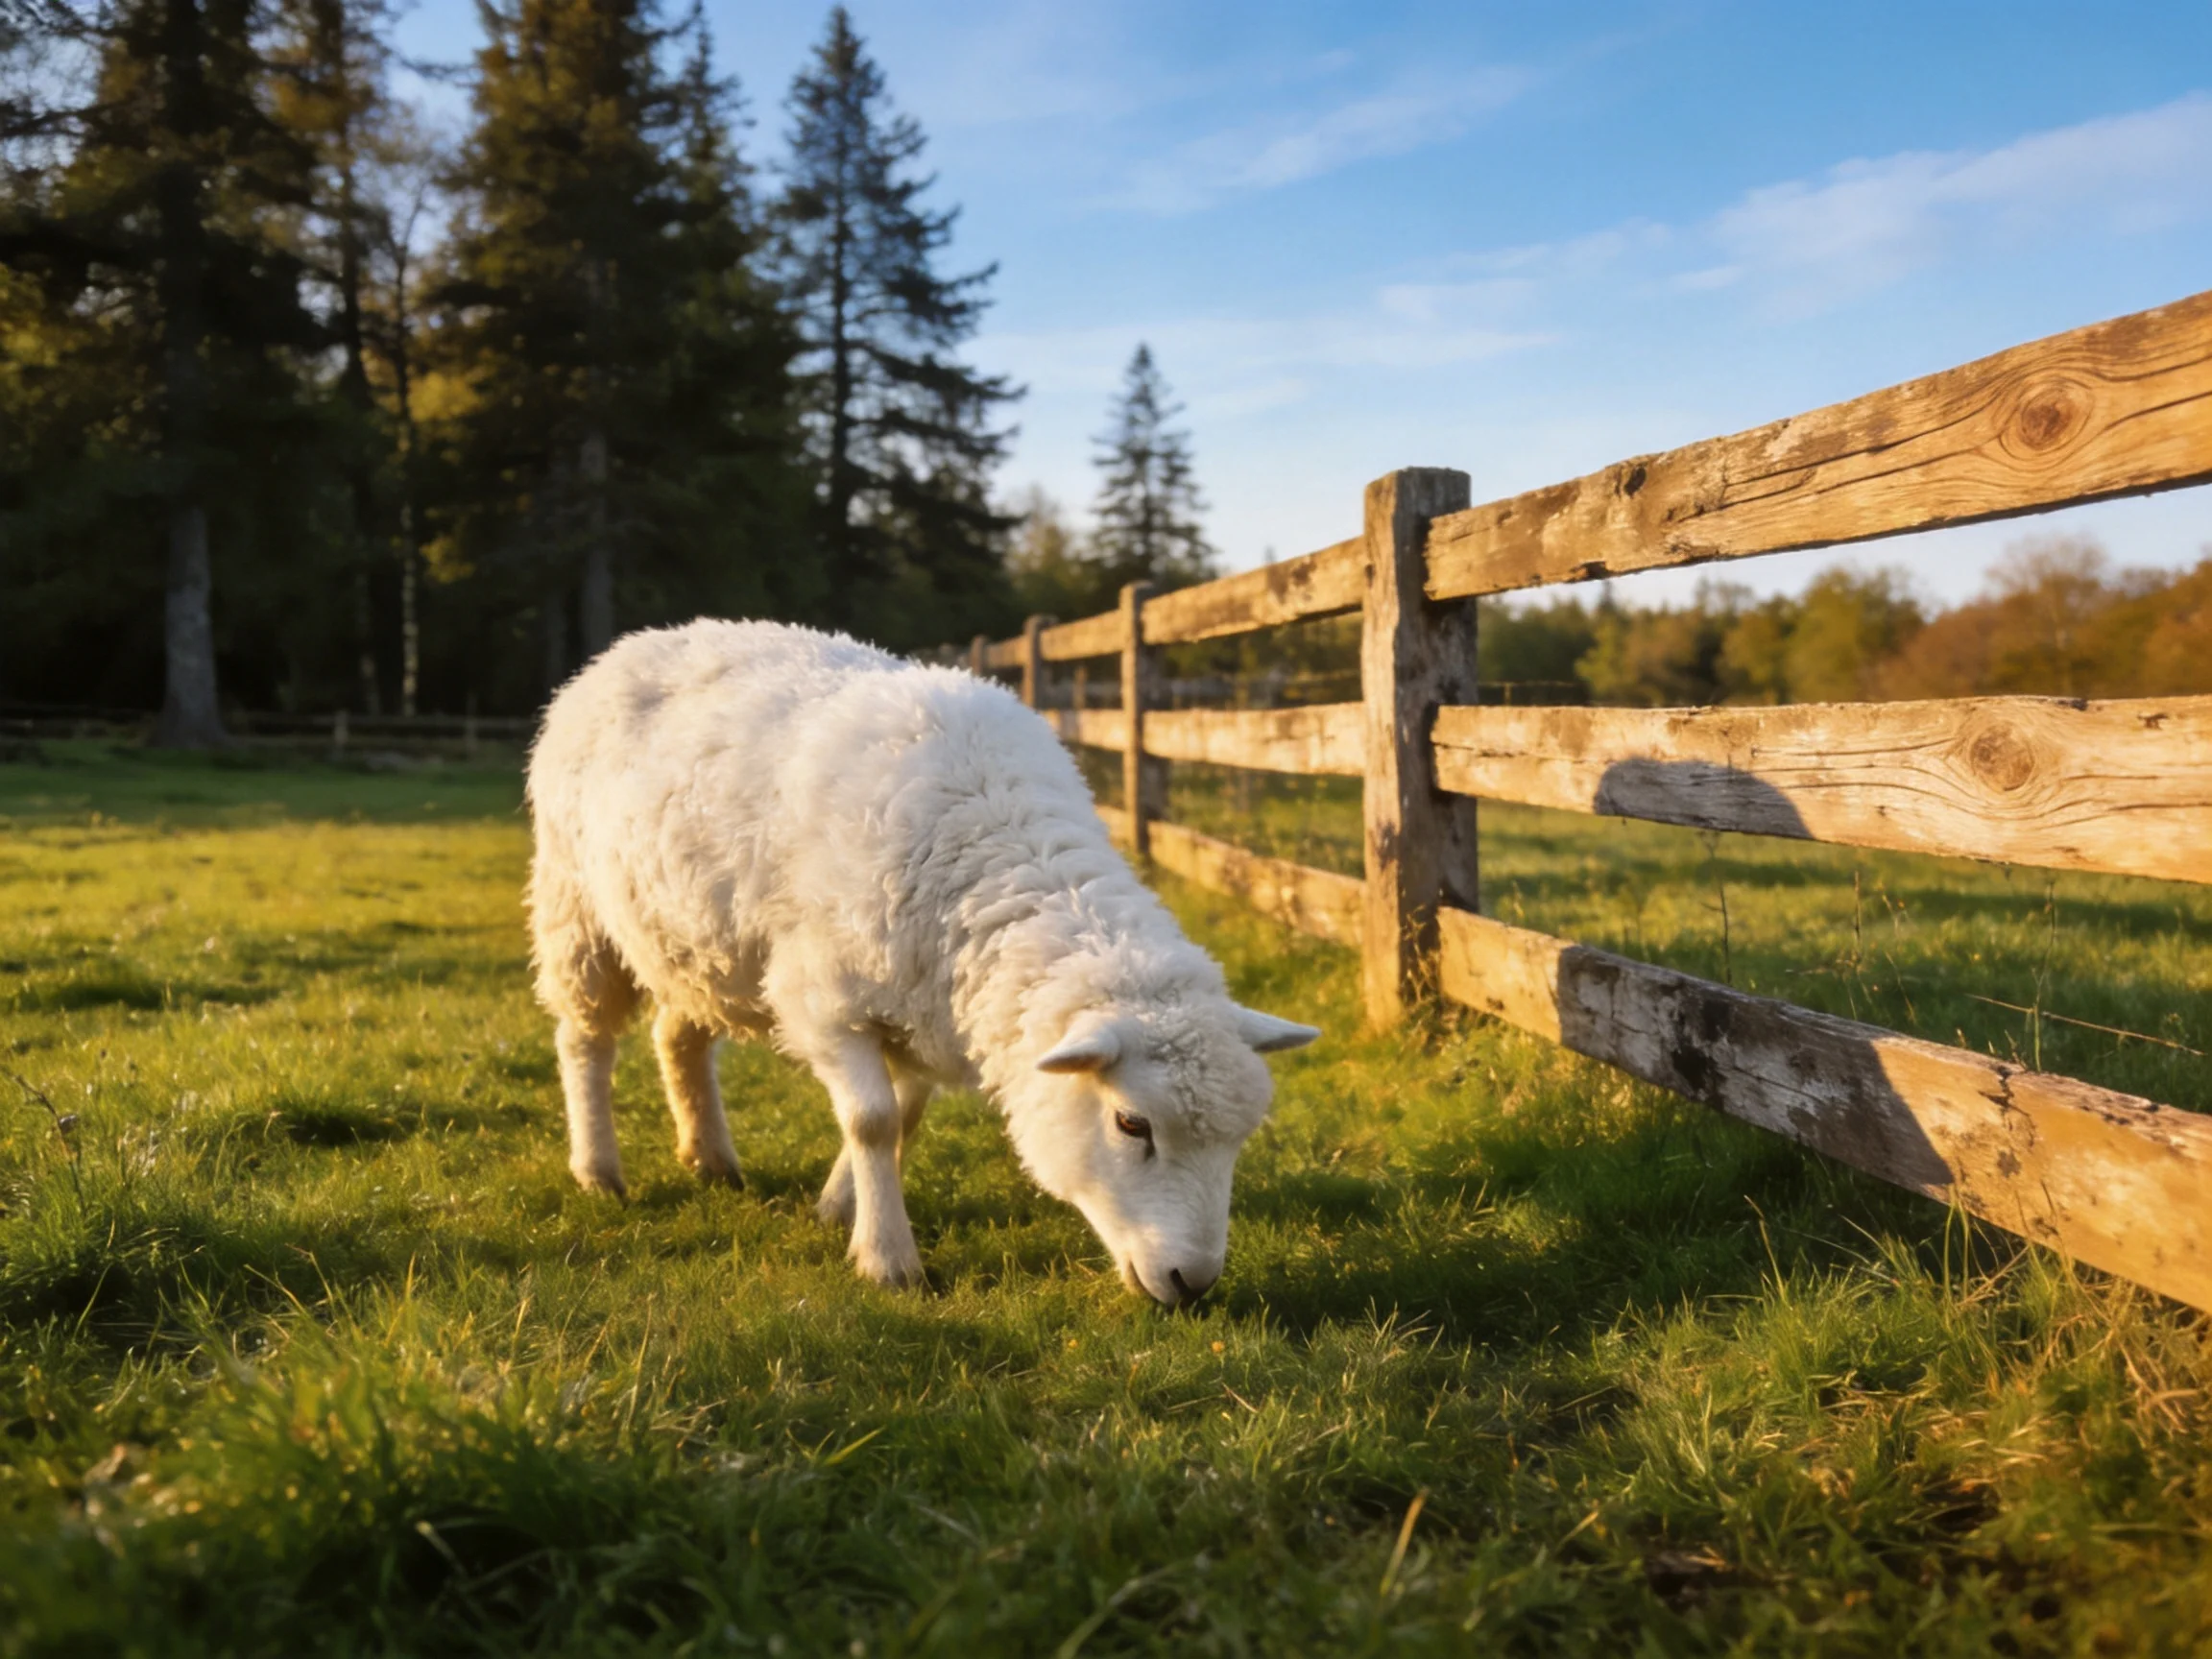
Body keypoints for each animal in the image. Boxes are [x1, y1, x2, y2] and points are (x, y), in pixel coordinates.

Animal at [525, 619, 1318, 1304]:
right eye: (1131, 1125)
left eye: (1239, 1139)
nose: (1194, 1283)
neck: (993, 847)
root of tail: (636, 643)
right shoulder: (823, 1000)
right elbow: (873, 1120)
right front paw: (886, 1258)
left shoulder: (923, 1008)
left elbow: (901, 1118)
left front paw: (838, 1207)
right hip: (576, 907)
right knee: (585, 1041)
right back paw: (598, 1170)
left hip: (693, 941)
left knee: (677, 1036)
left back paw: (710, 1158)